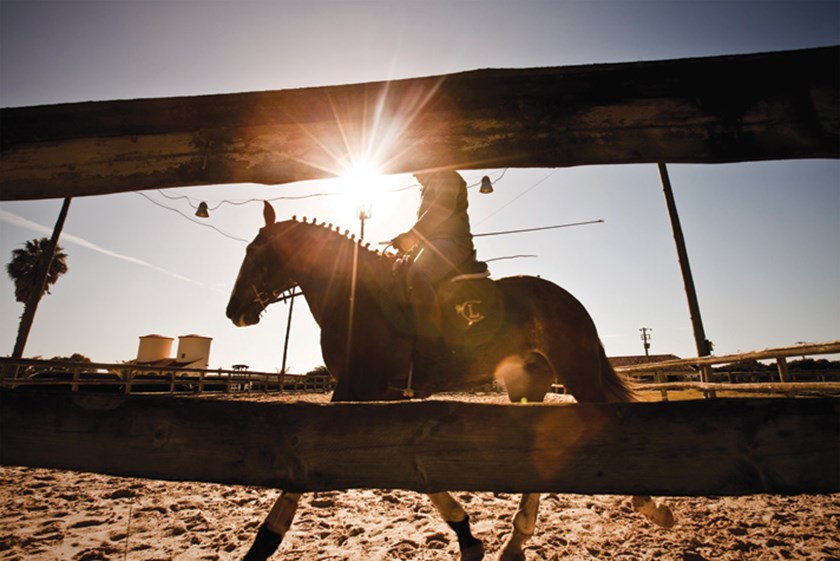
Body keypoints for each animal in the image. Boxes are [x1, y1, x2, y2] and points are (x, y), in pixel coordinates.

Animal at [226, 202, 672, 560]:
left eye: (254, 251)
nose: (234, 311)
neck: (356, 296)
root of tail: (565, 297)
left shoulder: (354, 391)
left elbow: (300, 476)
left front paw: (262, 543)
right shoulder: (379, 399)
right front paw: (467, 535)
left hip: (577, 374)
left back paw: (649, 506)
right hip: (527, 385)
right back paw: (516, 541)